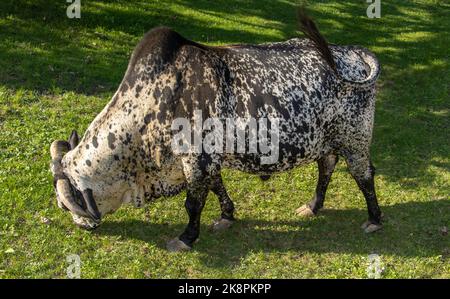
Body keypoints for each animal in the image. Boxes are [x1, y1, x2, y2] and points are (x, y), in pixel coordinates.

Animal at [51, 11, 384, 252]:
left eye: (65, 204)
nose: (81, 224)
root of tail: (353, 53)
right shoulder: (208, 160)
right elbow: (216, 187)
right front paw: (227, 216)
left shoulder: (195, 161)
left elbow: (193, 202)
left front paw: (186, 238)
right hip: (327, 140)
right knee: (326, 166)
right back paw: (313, 206)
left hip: (355, 139)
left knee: (364, 174)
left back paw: (374, 219)